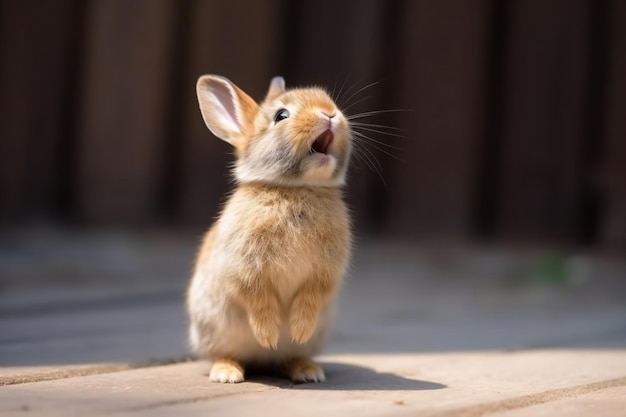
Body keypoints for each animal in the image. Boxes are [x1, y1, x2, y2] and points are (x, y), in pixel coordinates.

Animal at [185, 73, 352, 382]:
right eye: (281, 116)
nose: (330, 114)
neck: (296, 188)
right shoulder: (246, 267)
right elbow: (257, 298)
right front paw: (268, 335)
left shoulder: (325, 273)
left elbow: (311, 297)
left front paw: (299, 330)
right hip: (214, 329)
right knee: (226, 354)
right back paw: (228, 372)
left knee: (287, 358)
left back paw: (307, 370)